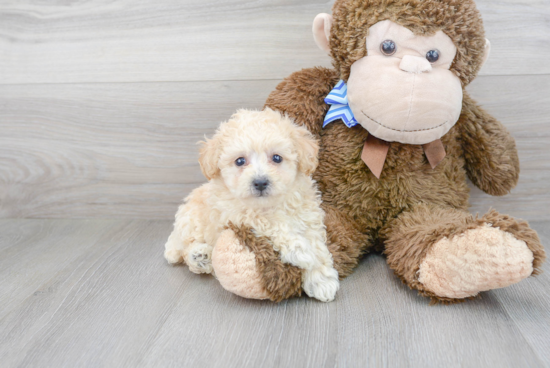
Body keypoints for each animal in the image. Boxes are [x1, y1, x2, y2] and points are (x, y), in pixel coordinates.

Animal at [165, 107, 340, 302]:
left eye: (277, 158)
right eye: (240, 161)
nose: (261, 182)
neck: (270, 205)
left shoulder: (308, 217)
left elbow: (318, 247)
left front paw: (321, 281)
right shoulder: (237, 215)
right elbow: (271, 223)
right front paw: (300, 249)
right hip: (192, 221)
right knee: (184, 248)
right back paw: (198, 256)